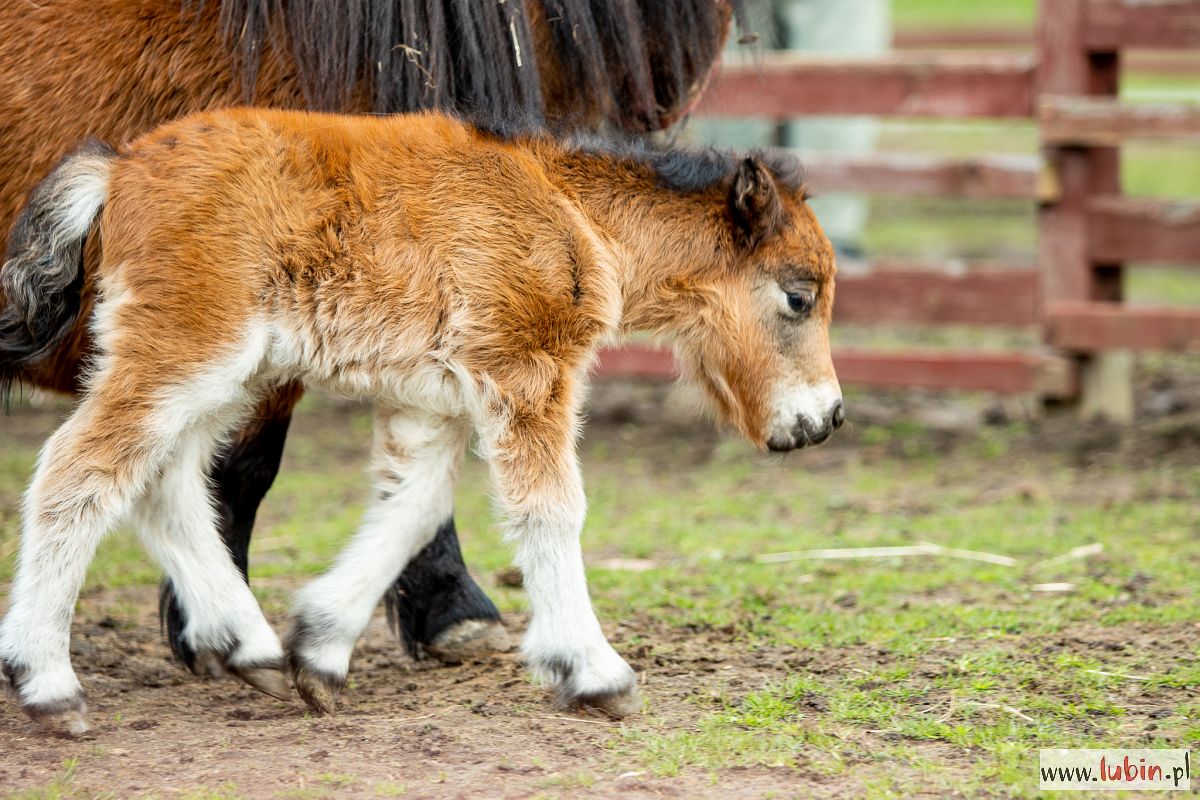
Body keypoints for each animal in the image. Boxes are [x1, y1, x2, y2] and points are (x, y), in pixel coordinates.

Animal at [0, 109, 844, 734]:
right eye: (798, 295)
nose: (825, 418)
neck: (571, 213)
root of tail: (118, 167)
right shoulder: (527, 373)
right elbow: (551, 509)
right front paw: (594, 672)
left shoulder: (428, 404)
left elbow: (413, 506)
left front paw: (320, 650)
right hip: (183, 355)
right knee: (79, 472)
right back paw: (48, 685)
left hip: (227, 378)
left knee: (163, 485)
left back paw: (254, 651)